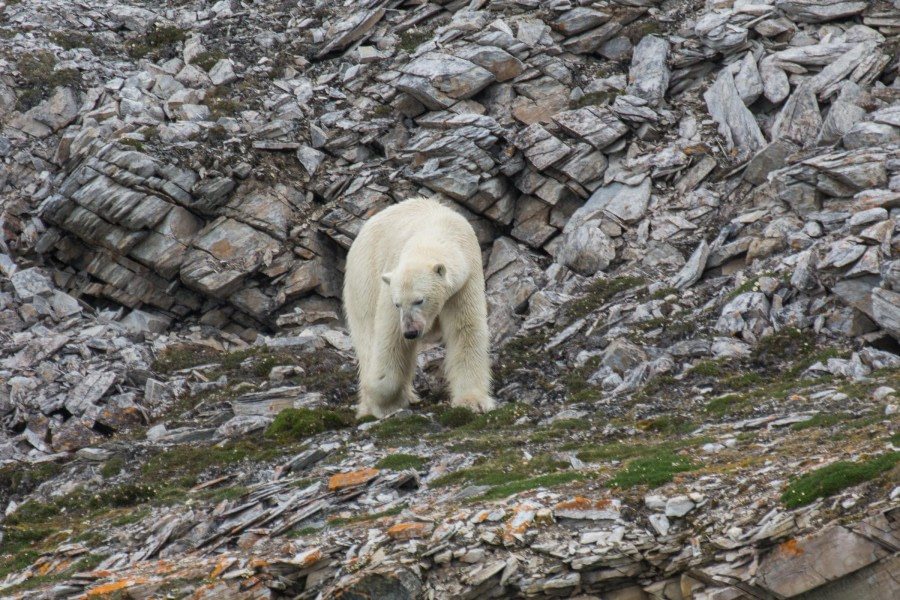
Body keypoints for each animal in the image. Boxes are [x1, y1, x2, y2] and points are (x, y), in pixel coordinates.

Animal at [344, 197, 500, 418]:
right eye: (398, 303)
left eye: (420, 300)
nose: (411, 332)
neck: (435, 231)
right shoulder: (390, 282)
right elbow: (390, 335)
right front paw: (385, 402)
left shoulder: (464, 282)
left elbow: (465, 329)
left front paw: (473, 402)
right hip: (365, 276)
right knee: (366, 334)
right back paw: (368, 406)